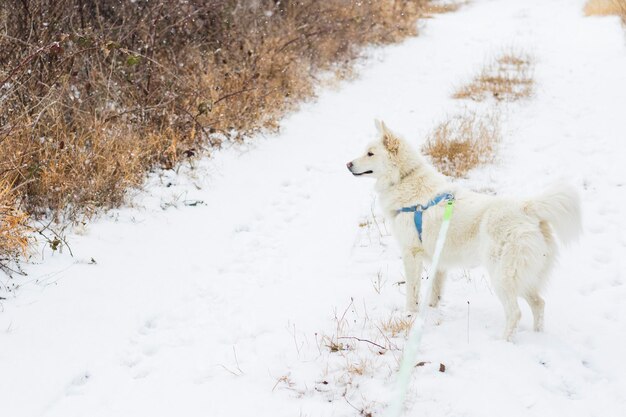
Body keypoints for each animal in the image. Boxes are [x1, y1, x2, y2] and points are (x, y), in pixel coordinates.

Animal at [346, 119, 580, 338]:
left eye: (370, 153)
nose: (348, 164)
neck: (405, 178)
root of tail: (527, 208)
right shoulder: (438, 259)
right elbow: (435, 292)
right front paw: (432, 310)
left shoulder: (411, 253)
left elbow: (412, 291)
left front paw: (410, 315)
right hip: (525, 276)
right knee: (539, 304)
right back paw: (537, 335)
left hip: (502, 275)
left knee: (515, 312)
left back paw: (505, 340)